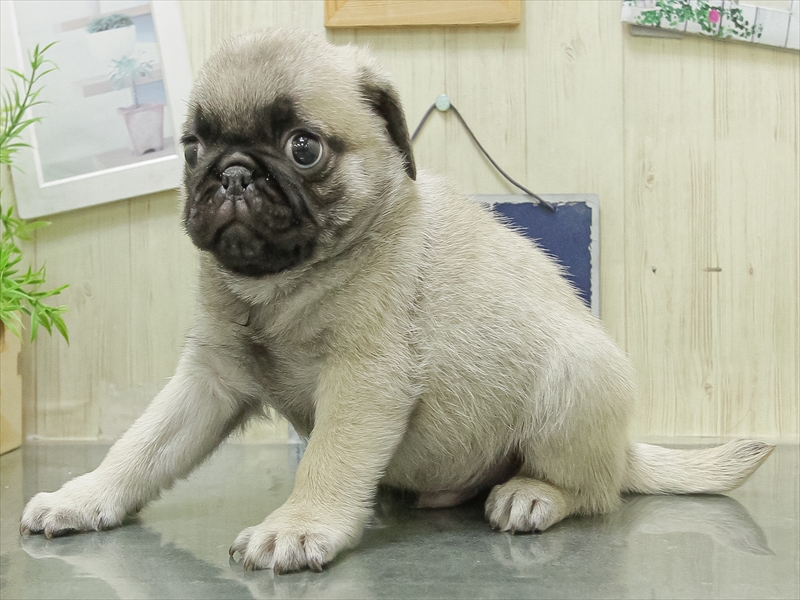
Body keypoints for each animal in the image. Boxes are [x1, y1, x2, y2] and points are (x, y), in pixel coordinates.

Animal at [20, 28, 774, 573]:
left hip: (575, 380)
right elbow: (140, 447)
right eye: (191, 148)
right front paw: (84, 497)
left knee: (595, 491)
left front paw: (299, 523)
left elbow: (327, 457)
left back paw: (534, 493)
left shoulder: (363, 379)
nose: (231, 173)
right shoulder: (207, 381)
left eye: (303, 148)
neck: (283, 285)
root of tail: (622, 448)